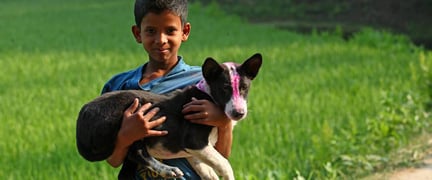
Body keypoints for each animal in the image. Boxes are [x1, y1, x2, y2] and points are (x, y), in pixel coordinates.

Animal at [76, 53, 262, 180]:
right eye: (224, 88)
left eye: (244, 87)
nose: (239, 113)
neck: (208, 94)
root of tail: (81, 117)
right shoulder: (195, 141)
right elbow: (225, 164)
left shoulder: (194, 152)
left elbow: (208, 172)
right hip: (123, 122)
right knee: (136, 152)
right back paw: (168, 170)